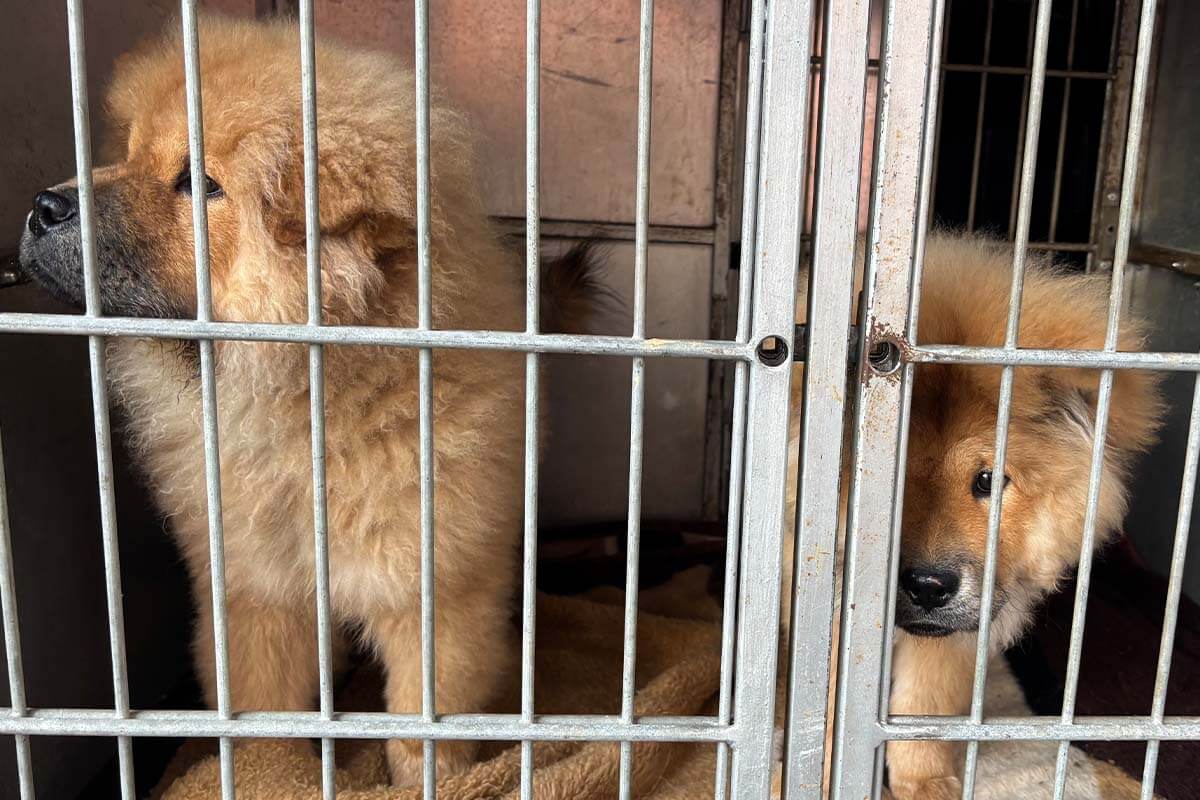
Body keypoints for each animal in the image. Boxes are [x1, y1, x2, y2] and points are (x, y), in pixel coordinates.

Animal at [19, 14, 600, 786]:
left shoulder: (437, 594)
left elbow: (424, 724)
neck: (311, 408)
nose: (43, 206)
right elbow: (266, 714)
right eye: (132, 151)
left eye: (199, 184)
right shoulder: (255, 591)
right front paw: (271, 773)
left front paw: (426, 781)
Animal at [782, 235, 1166, 796]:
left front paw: (924, 783)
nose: (928, 586)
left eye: (987, 481)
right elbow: (825, 711)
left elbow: (922, 706)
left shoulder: (951, 640)